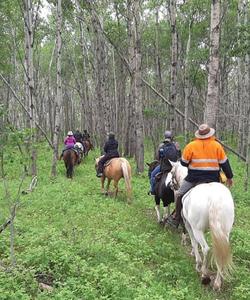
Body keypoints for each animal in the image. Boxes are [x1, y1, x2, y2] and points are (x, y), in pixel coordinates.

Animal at [168, 162, 234, 290]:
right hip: (225, 232)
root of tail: (214, 197)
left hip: (197, 229)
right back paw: (217, 283)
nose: (171, 185)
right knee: (221, 253)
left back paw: (204, 275)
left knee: (206, 249)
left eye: (172, 172)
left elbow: (193, 242)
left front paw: (195, 258)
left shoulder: (188, 225)